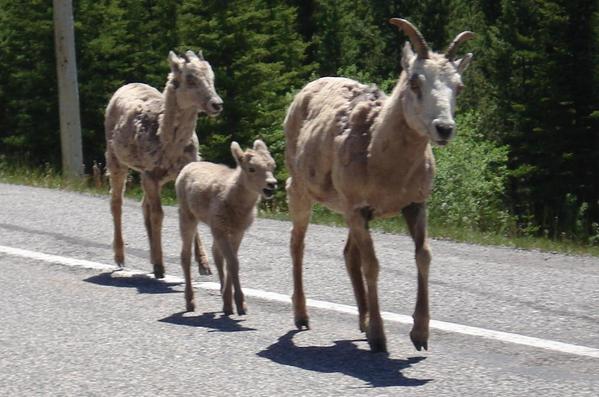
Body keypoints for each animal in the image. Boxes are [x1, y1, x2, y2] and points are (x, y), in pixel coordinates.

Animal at [104, 49, 224, 276]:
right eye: (190, 79)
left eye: (212, 78)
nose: (217, 104)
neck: (169, 145)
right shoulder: (150, 172)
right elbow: (158, 214)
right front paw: (160, 268)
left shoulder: (178, 173)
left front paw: (204, 266)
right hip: (116, 161)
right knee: (117, 202)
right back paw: (120, 259)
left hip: (149, 177)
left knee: (144, 206)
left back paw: (151, 258)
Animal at [173, 139, 276, 316]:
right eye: (251, 168)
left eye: (273, 166)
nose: (272, 184)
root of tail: (186, 167)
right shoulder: (220, 228)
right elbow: (233, 263)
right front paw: (240, 305)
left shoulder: (237, 231)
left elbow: (230, 262)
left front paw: (228, 304)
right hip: (187, 216)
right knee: (185, 255)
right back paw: (190, 302)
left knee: (216, 254)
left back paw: (220, 293)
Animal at [284, 19, 476, 352]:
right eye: (415, 82)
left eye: (459, 86)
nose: (444, 129)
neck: (384, 164)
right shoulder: (359, 209)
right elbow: (372, 265)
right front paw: (379, 338)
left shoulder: (414, 205)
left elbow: (423, 256)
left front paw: (420, 336)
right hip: (303, 193)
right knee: (298, 245)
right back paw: (302, 317)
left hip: (349, 214)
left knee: (349, 255)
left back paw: (361, 320)